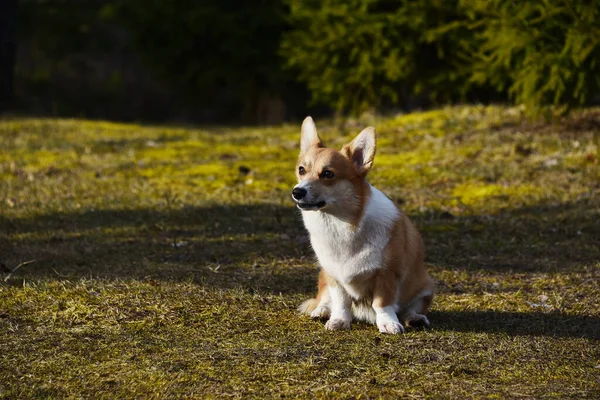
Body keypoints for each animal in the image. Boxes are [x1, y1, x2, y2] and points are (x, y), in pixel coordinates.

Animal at [292, 116, 434, 334]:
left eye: (328, 174)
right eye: (301, 170)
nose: (297, 192)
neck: (340, 224)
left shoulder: (387, 274)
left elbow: (382, 303)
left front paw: (388, 323)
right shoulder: (334, 277)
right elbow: (341, 301)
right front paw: (339, 320)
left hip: (425, 286)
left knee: (410, 308)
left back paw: (415, 318)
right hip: (323, 277)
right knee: (324, 298)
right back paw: (322, 310)